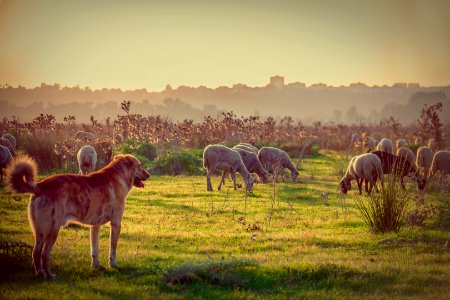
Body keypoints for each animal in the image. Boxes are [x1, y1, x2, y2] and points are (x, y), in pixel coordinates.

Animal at [6, 154, 149, 280]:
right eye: (139, 166)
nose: (148, 174)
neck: (118, 177)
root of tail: (39, 186)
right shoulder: (116, 224)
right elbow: (112, 249)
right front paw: (113, 265)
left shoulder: (95, 226)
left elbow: (94, 250)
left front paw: (96, 266)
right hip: (53, 230)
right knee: (45, 254)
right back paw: (50, 276)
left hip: (40, 232)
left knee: (36, 252)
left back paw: (41, 274)